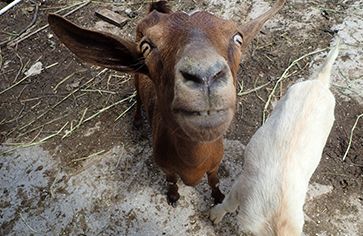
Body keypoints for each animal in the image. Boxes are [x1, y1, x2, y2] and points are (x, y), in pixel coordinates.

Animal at [48, 0, 286, 205]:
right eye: (147, 47)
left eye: (237, 38)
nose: (205, 75)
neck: (193, 165)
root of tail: (154, 11)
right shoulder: (165, 166)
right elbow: (171, 180)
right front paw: (173, 196)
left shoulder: (215, 163)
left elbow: (214, 181)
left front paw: (218, 197)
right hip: (136, 79)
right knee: (137, 98)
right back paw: (137, 122)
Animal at [210, 41, 342, 236]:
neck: (276, 220)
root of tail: (318, 83)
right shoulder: (243, 187)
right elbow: (229, 204)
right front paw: (215, 215)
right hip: (288, 94)